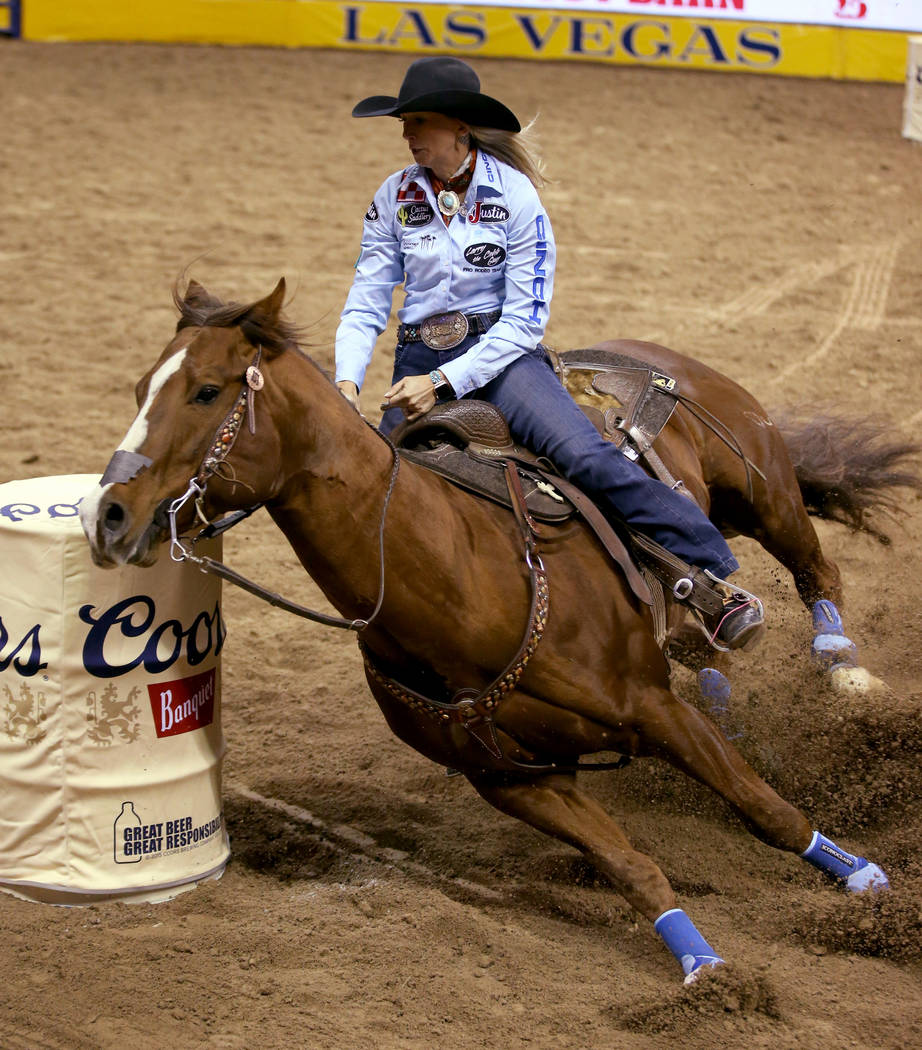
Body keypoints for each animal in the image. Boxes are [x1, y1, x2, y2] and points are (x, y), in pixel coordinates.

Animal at [82, 281, 898, 982]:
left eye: (206, 391)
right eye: (138, 389)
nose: (107, 515)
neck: (460, 580)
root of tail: (634, 353)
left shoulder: (654, 708)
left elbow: (764, 808)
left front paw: (864, 881)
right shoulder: (513, 779)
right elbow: (630, 866)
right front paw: (702, 967)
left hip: (764, 492)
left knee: (816, 570)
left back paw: (842, 667)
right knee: (709, 648)